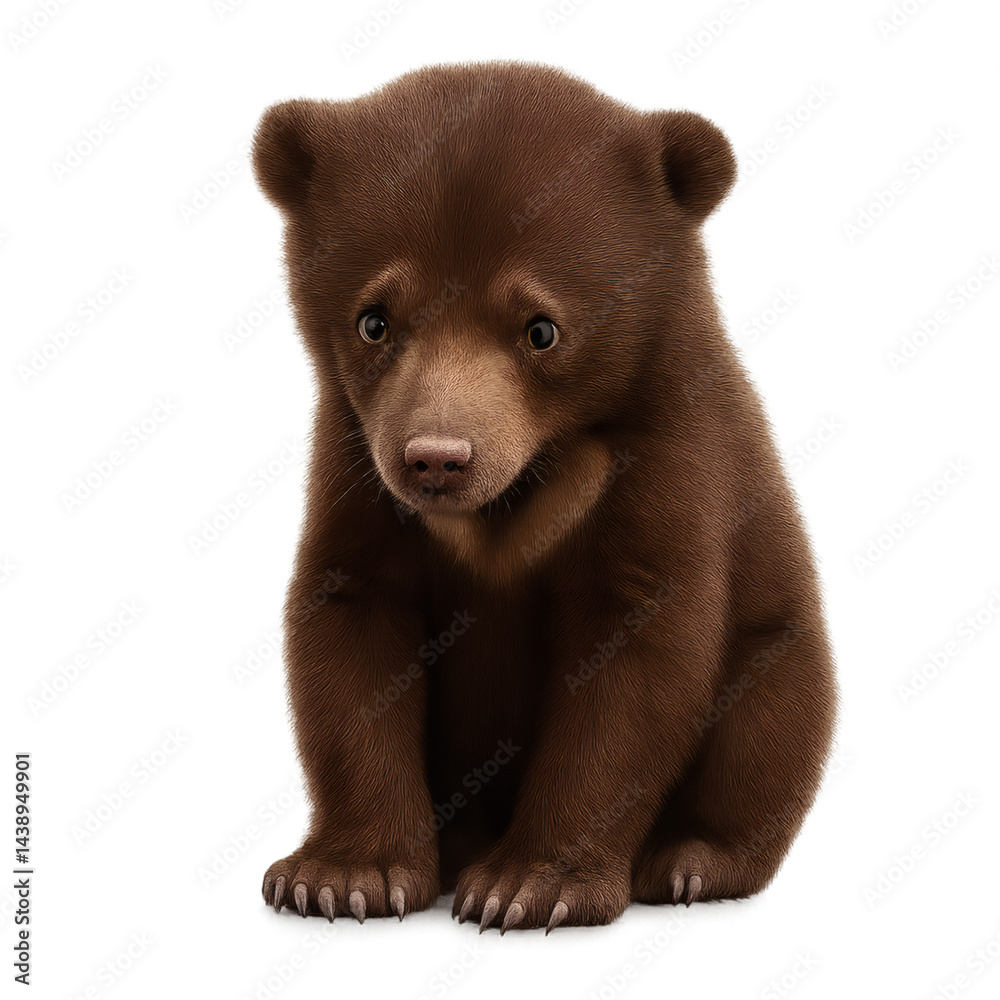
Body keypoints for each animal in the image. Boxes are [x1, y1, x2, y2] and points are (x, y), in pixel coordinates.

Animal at [250, 60, 837, 933]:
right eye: (373, 321)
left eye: (541, 329)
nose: (437, 460)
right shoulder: (356, 461)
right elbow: (351, 624)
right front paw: (340, 876)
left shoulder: (667, 453)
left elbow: (637, 656)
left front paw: (528, 886)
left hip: (784, 654)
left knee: (769, 730)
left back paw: (691, 861)